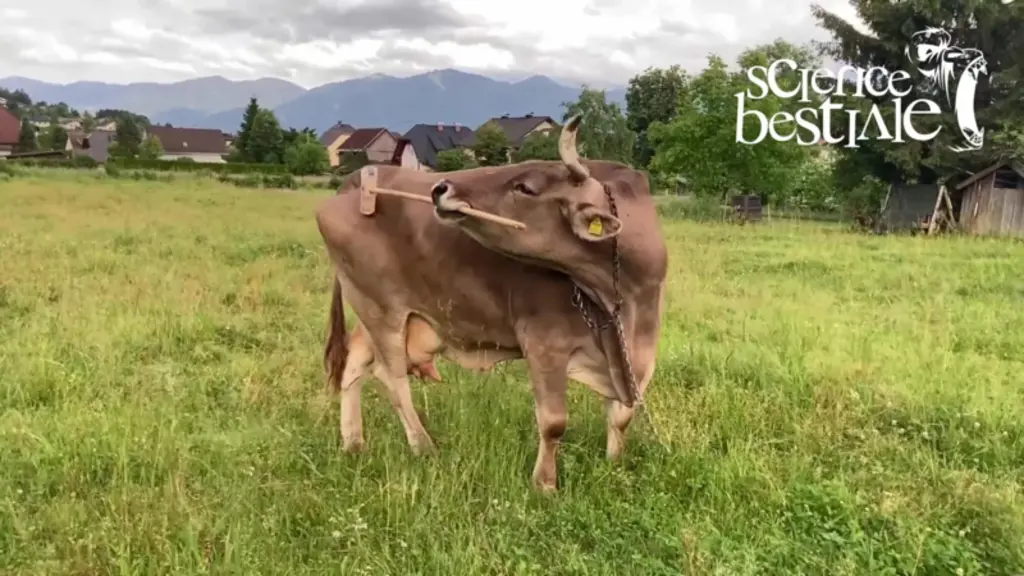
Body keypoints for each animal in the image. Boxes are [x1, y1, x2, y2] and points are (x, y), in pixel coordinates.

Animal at [314, 117, 667, 491]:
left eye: (525, 187)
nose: (440, 189)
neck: (623, 301)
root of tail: (355, 181)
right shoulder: (544, 344)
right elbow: (554, 421)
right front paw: (544, 485)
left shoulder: (637, 355)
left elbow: (621, 416)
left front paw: (613, 465)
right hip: (380, 310)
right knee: (391, 378)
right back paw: (424, 448)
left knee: (353, 362)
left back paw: (354, 443)